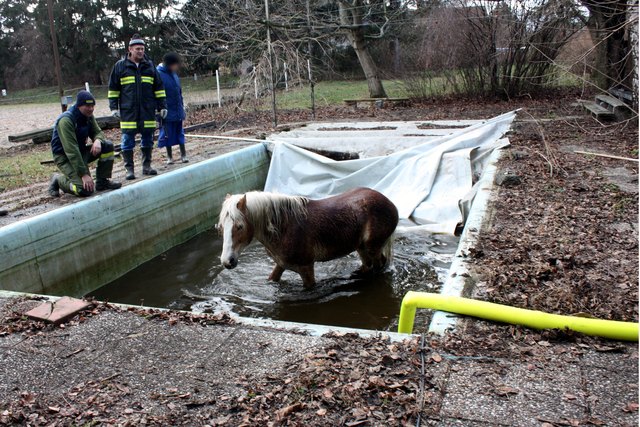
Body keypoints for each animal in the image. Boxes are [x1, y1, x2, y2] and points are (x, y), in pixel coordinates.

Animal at [218, 189, 398, 290]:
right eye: (221, 227)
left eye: (240, 226)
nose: (227, 261)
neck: (284, 228)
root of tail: (390, 203)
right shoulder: (281, 264)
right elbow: (272, 279)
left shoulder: (306, 268)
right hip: (361, 248)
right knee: (368, 265)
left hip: (373, 248)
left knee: (379, 265)